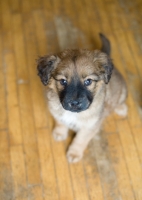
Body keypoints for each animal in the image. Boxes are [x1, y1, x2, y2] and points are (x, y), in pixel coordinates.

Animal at [36, 33, 127, 163]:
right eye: (63, 81)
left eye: (88, 81)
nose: (74, 103)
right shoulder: (57, 113)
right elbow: (60, 122)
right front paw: (59, 133)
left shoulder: (90, 126)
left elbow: (80, 140)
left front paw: (74, 153)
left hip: (123, 91)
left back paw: (121, 108)